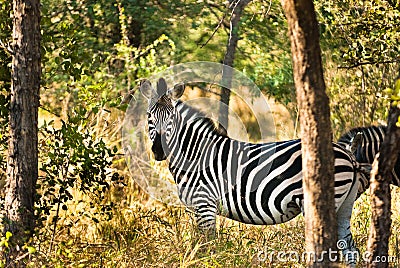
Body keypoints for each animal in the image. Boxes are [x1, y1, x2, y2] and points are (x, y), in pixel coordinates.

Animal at [140, 77, 366, 264]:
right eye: (149, 116)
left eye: (171, 117)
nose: (159, 150)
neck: (195, 154)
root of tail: (347, 153)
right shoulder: (197, 207)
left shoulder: (205, 204)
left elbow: (207, 247)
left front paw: (207, 262)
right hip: (344, 204)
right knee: (350, 250)